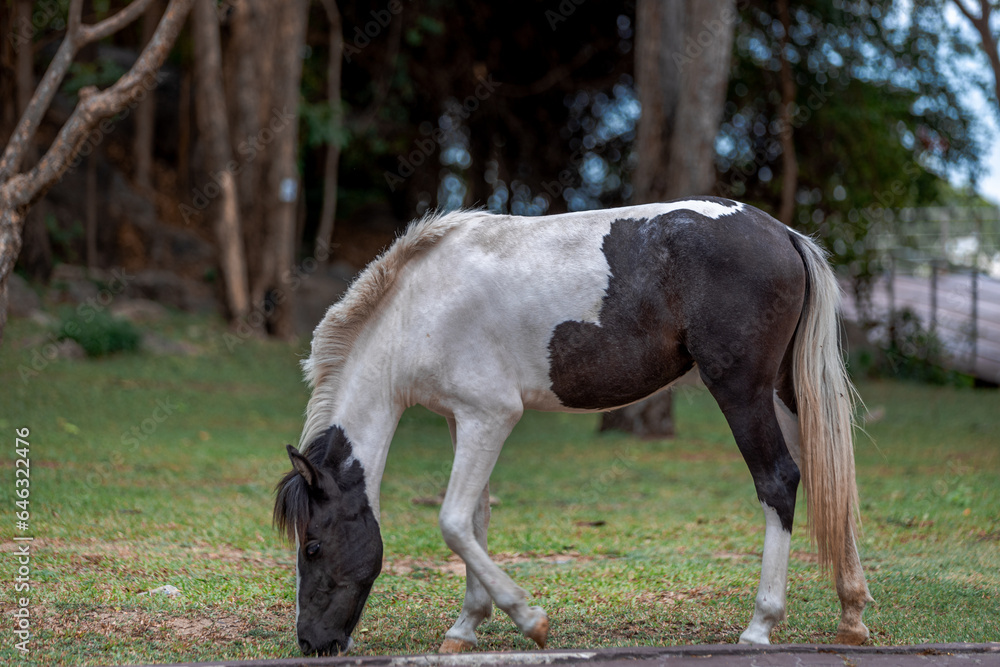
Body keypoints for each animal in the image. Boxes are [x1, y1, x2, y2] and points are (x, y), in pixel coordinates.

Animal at [273, 196, 873, 656]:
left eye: (313, 548)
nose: (312, 644)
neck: (421, 309)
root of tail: (783, 233)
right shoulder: (463, 421)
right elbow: (476, 519)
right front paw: (466, 627)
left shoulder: (491, 417)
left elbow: (453, 522)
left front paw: (529, 619)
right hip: (781, 395)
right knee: (827, 477)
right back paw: (851, 614)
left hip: (740, 390)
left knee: (779, 481)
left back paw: (759, 626)